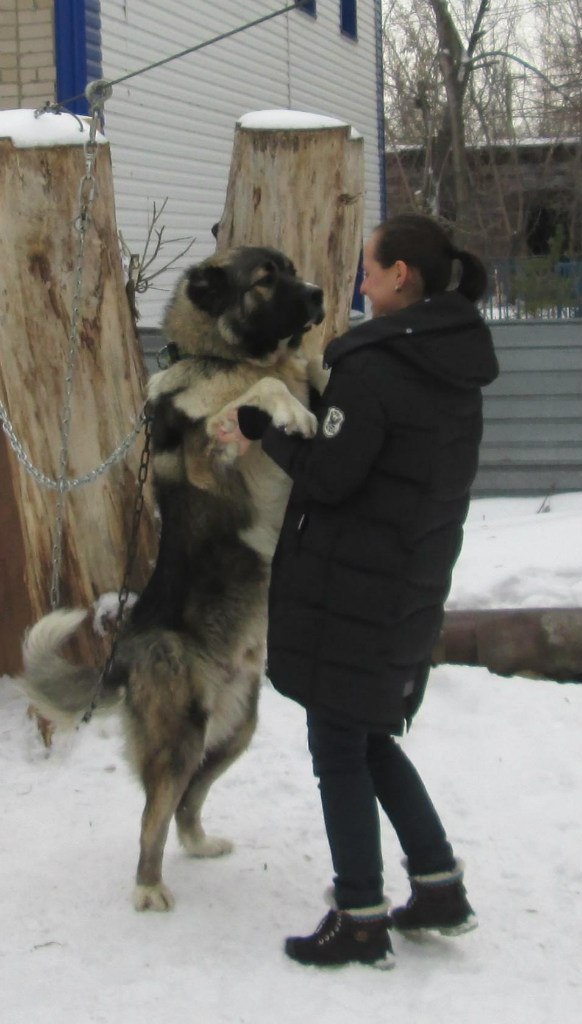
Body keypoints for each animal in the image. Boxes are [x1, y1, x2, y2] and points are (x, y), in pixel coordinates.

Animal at [19, 245, 323, 913]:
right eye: (267, 280)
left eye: (293, 269)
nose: (319, 294)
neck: (225, 359)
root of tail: (123, 652)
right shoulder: (214, 457)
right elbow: (261, 393)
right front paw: (289, 407)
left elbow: (296, 374)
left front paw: (308, 383)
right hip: (180, 736)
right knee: (150, 816)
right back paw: (149, 888)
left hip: (234, 732)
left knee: (186, 802)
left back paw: (201, 845)